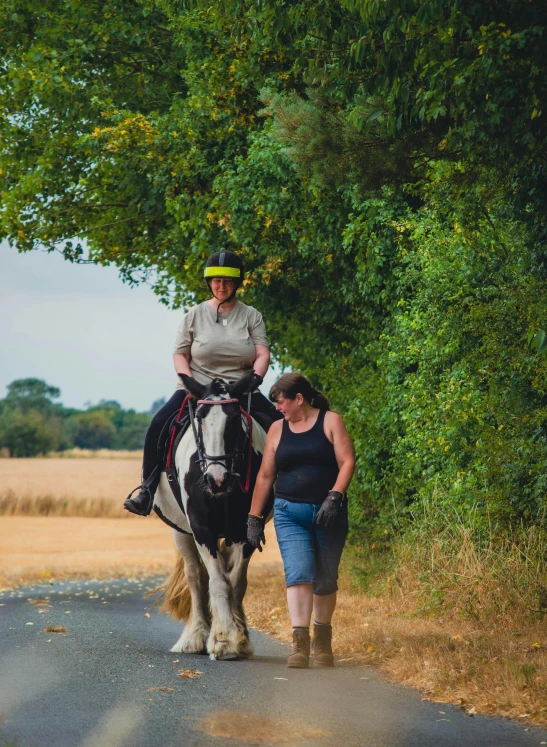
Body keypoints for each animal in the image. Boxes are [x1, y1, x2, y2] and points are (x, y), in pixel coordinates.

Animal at [152, 372, 270, 660]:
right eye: (200, 420)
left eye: (235, 420)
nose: (217, 480)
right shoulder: (201, 527)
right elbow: (216, 582)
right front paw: (224, 639)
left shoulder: (245, 528)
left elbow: (236, 581)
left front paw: (238, 639)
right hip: (180, 531)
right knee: (195, 577)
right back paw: (194, 637)